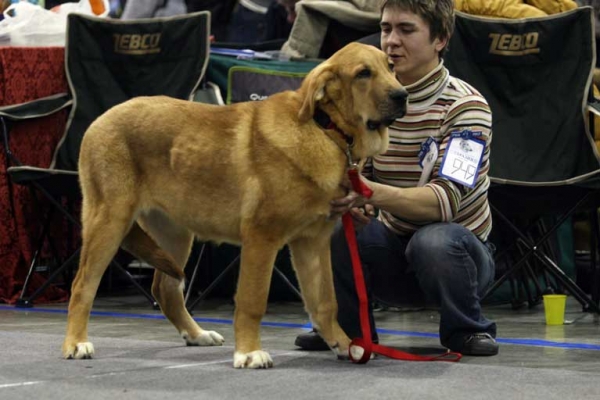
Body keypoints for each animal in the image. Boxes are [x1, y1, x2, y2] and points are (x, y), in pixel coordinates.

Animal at [62, 42, 408, 368]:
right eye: (363, 73)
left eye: (391, 66)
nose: (402, 95)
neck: (324, 128)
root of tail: (100, 119)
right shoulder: (261, 237)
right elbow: (253, 300)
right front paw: (250, 352)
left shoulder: (312, 241)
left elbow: (325, 301)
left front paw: (344, 344)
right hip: (109, 220)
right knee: (82, 285)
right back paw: (76, 343)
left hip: (173, 233)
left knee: (165, 289)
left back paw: (197, 334)